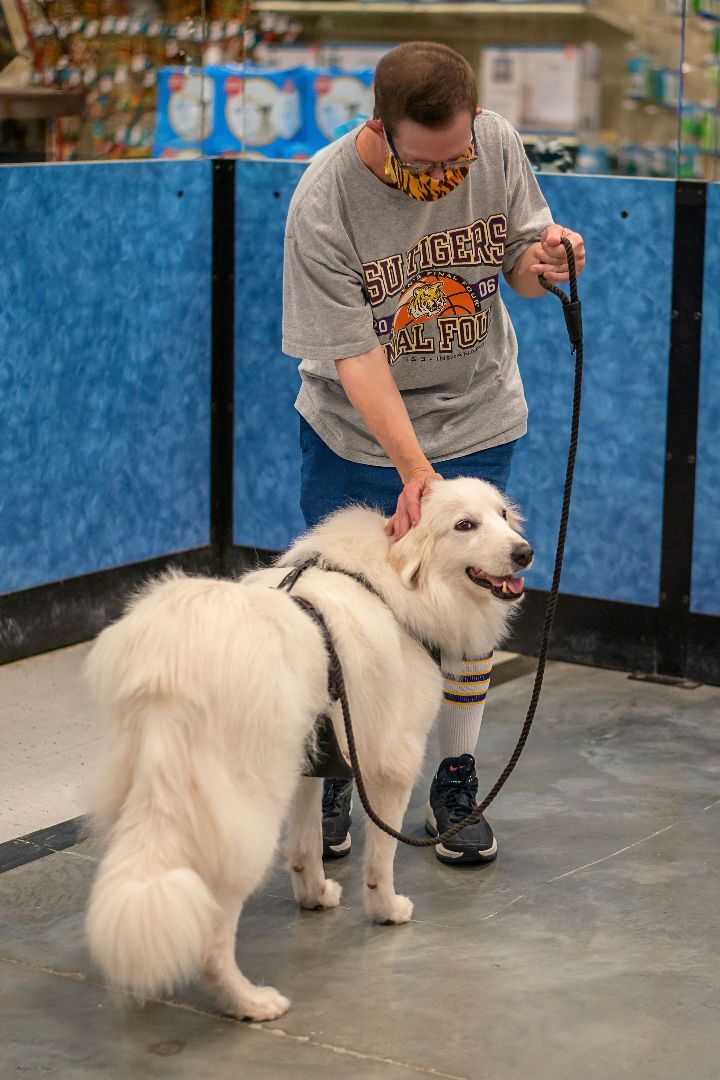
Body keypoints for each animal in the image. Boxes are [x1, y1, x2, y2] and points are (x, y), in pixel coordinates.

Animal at [85, 479, 528, 1019]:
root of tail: (171, 667)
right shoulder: (394, 764)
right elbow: (381, 858)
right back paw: (250, 1002)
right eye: (465, 525)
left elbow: (306, 843)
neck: (398, 584)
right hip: (243, 816)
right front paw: (386, 910)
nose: (524, 552)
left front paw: (314, 895)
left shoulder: (311, 758)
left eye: (502, 515)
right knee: (214, 933)